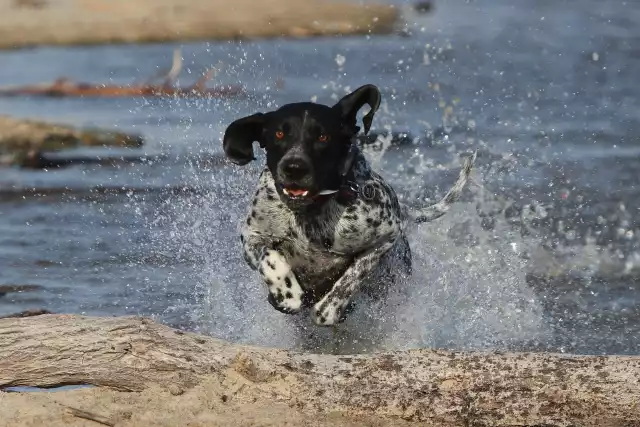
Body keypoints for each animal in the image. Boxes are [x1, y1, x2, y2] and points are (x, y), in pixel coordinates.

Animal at [222, 84, 472, 328]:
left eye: (323, 136)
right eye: (280, 133)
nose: (294, 167)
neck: (309, 213)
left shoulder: (385, 236)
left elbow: (350, 278)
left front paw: (329, 309)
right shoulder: (252, 236)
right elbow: (270, 258)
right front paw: (287, 293)